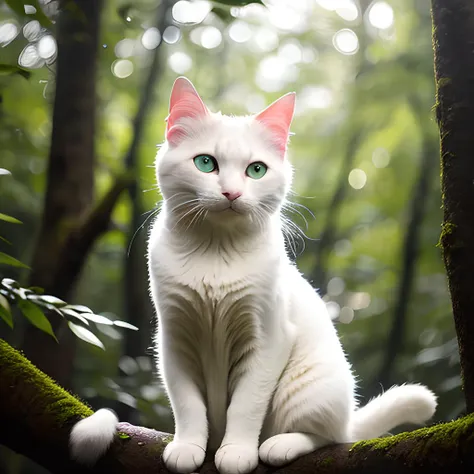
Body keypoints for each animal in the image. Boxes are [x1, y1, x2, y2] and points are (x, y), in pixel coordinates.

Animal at [69, 76, 436, 472]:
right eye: (206, 163)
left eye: (256, 169)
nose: (231, 192)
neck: (215, 253)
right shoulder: (174, 340)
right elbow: (187, 405)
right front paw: (188, 446)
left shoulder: (267, 340)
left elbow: (245, 406)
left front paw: (237, 451)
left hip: (307, 390)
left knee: (329, 436)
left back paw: (279, 445)